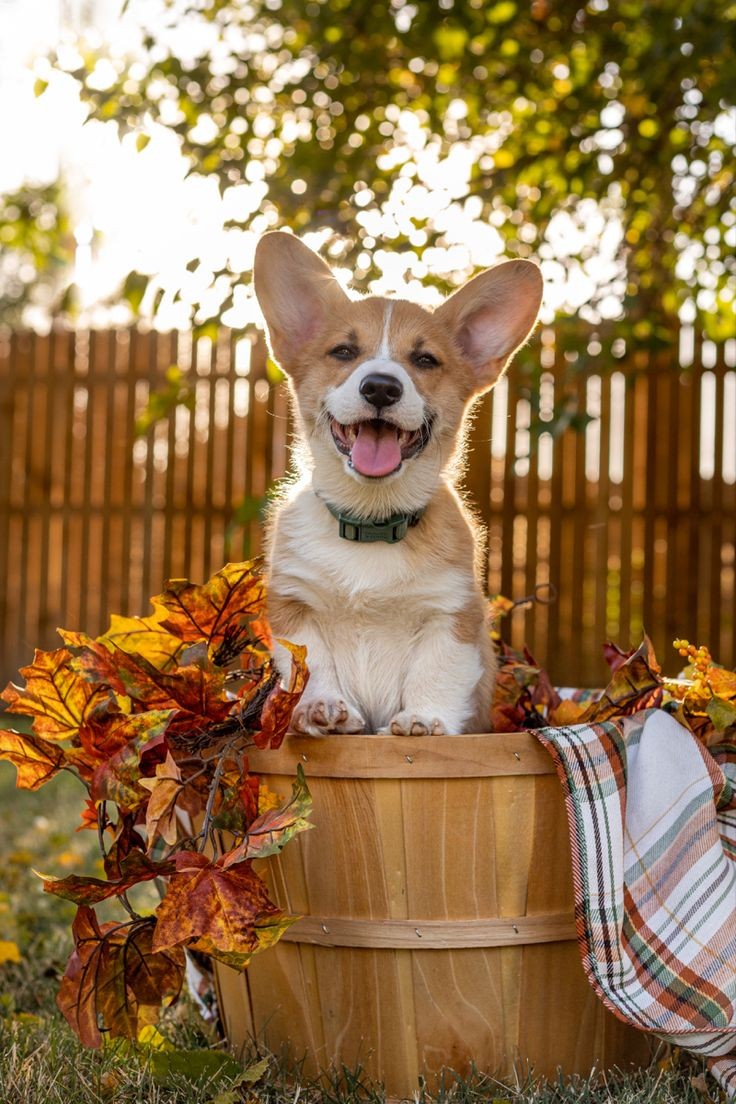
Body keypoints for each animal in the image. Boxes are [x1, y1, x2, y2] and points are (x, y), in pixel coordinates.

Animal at [253, 231, 540, 733]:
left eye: (425, 359)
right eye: (344, 352)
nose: (381, 388)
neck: (371, 522)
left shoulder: (452, 612)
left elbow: (437, 670)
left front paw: (423, 719)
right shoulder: (295, 604)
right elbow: (312, 663)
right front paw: (321, 708)